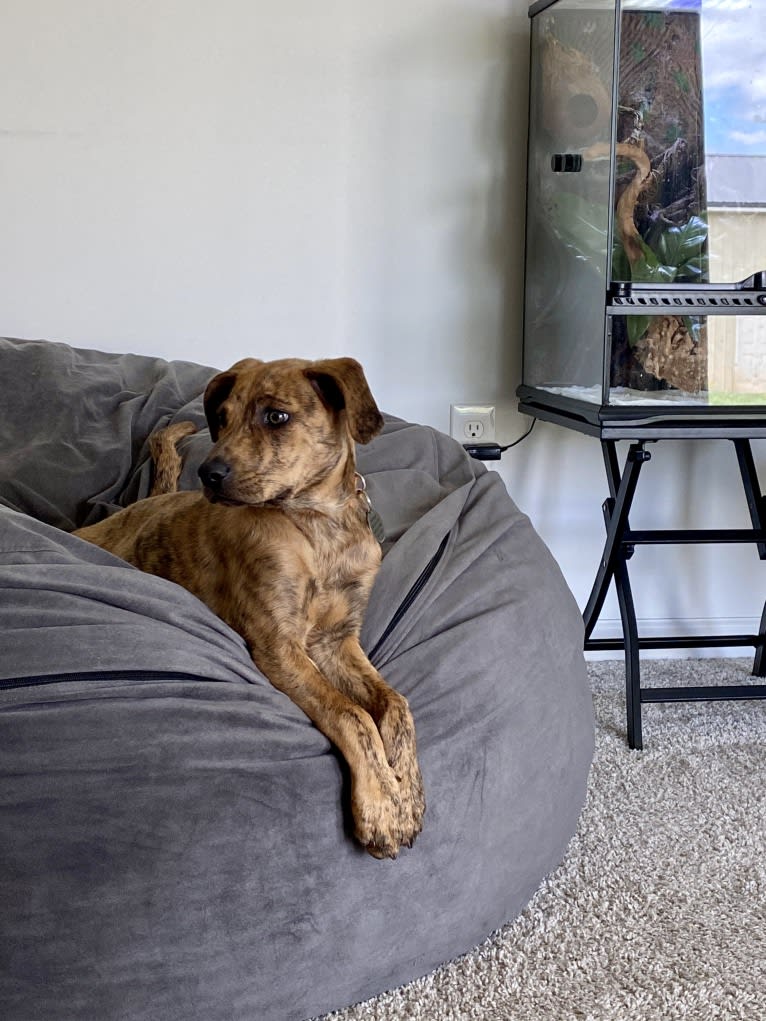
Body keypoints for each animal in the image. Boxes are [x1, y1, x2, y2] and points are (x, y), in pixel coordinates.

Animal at [75, 355, 426, 857]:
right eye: (221, 419)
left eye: (276, 416)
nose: (208, 475)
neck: (317, 525)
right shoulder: (279, 646)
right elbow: (351, 714)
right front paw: (382, 805)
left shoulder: (337, 643)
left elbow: (395, 704)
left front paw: (407, 792)